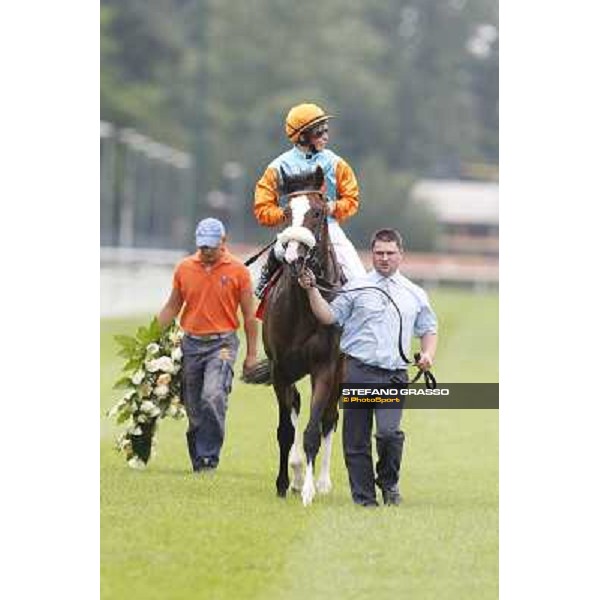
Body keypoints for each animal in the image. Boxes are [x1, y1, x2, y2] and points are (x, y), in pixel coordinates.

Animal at [246, 164, 344, 506]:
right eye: (287, 212)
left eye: (317, 212)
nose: (292, 257)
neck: (304, 304)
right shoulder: (281, 369)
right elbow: (285, 431)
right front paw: (284, 482)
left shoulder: (325, 367)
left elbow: (314, 429)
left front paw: (311, 489)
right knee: (297, 404)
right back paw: (299, 473)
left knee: (329, 418)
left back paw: (323, 481)